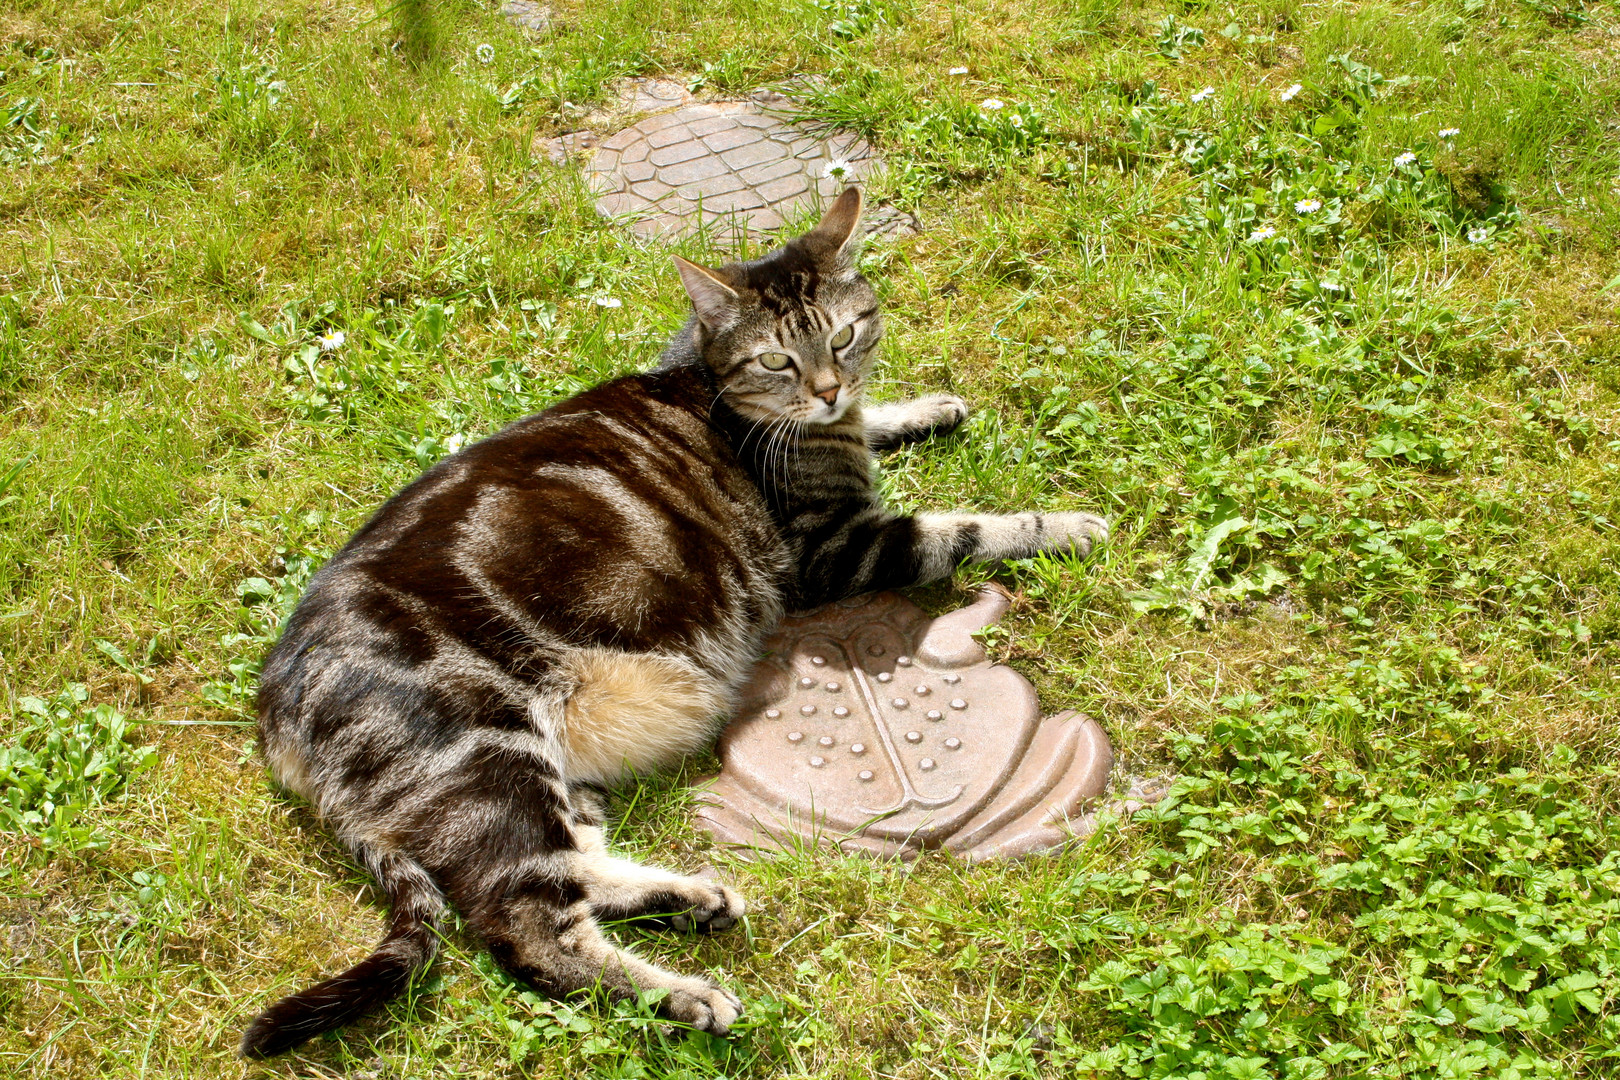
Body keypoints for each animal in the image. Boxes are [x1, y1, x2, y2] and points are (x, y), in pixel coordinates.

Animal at [236, 186, 1101, 1055]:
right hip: (485, 760)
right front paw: (1065, 524)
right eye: (777, 361)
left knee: (582, 870)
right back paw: (684, 996)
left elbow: (880, 420)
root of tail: (275, 711)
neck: (703, 374)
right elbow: (967, 528)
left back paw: (693, 901)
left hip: (545, 779)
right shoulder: (840, 549)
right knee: (528, 927)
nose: (826, 389)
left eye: (843, 336)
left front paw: (924, 406)